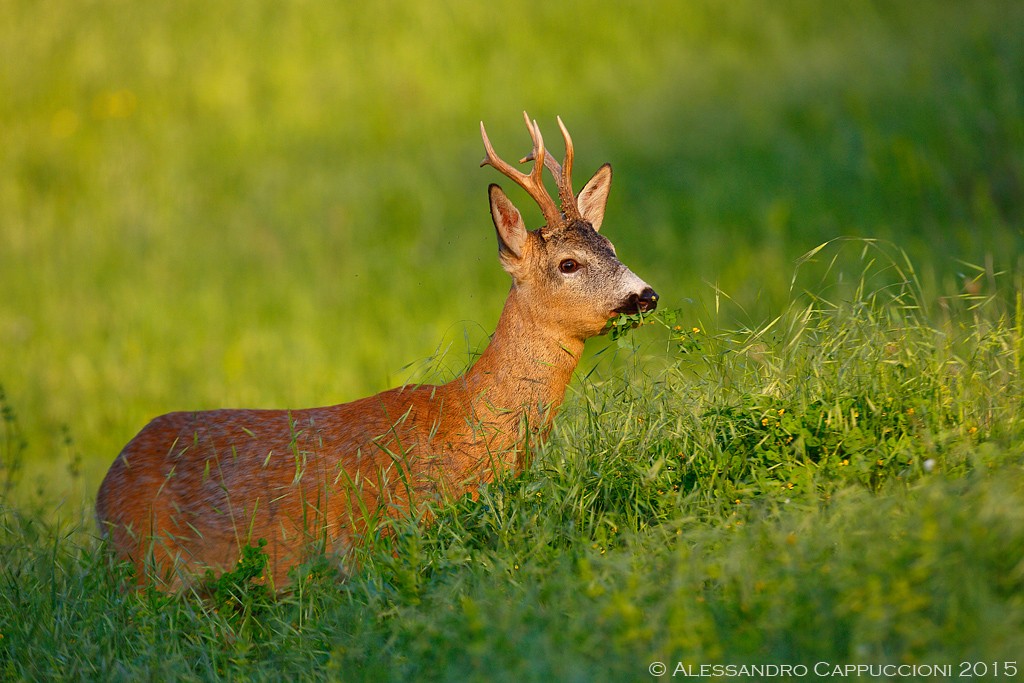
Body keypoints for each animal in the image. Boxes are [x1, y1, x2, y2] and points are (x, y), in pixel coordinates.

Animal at [94, 112, 655, 589]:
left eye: (612, 248)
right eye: (568, 263)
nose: (646, 294)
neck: (461, 425)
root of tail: (105, 488)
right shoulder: (382, 537)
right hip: (145, 565)